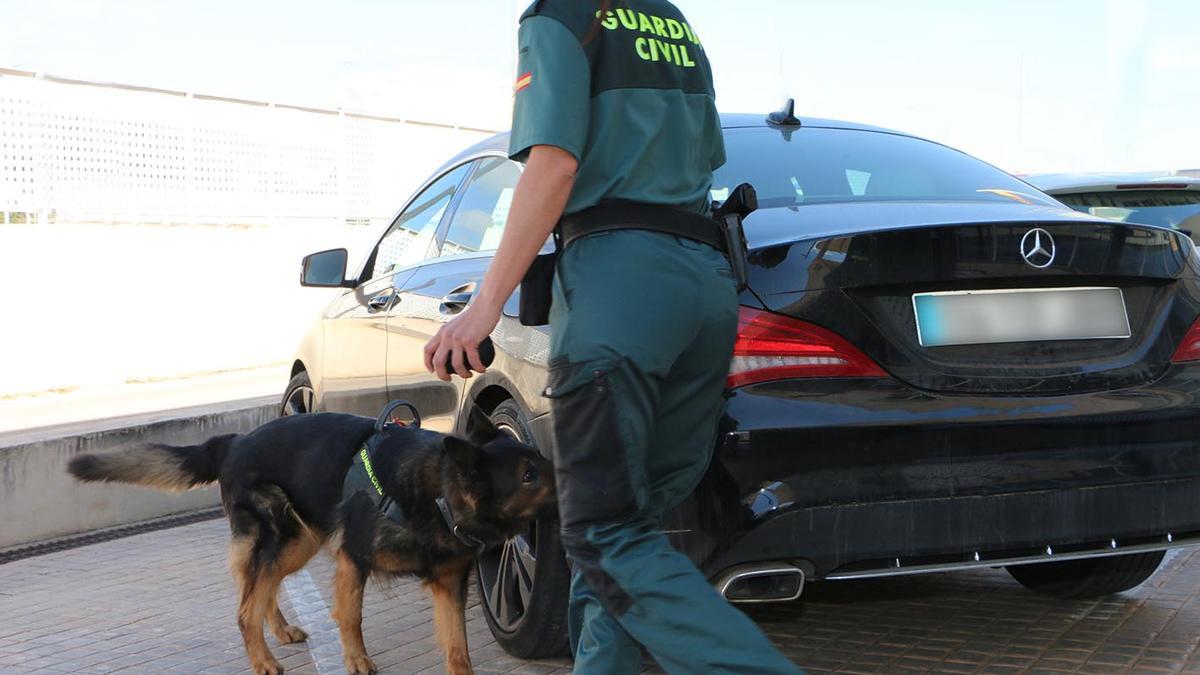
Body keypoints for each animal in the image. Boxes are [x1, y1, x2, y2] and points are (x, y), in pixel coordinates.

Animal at [66, 403, 552, 672]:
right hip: (282, 539)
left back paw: (279, 631)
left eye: (540, 460)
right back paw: (263, 661)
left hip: (297, 545)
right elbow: (351, 618)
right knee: (244, 610)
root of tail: (234, 441)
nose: (563, 465)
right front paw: (356, 661)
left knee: (259, 591)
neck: (438, 495)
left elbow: (458, 650)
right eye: (529, 475)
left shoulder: (449, 584)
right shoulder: (353, 560)